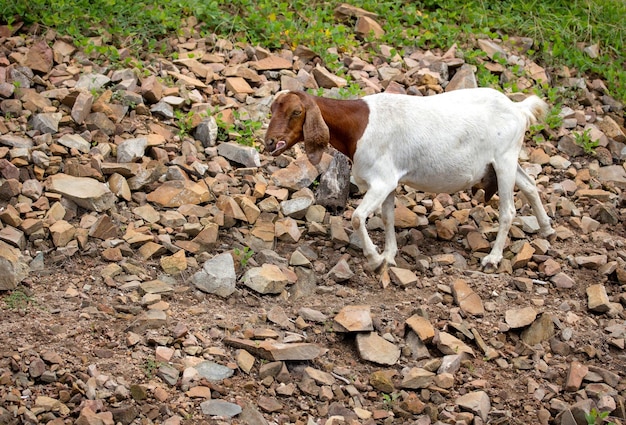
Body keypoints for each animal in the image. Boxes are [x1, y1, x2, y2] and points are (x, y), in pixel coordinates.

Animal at [262, 88, 552, 270]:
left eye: (296, 112)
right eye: (272, 108)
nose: (269, 143)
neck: (358, 125)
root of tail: (518, 108)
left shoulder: (382, 180)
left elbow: (357, 217)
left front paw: (374, 259)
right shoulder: (389, 182)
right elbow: (387, 217)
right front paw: (389, 255)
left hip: (504, 159)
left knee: (508, 210)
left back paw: (493, 258)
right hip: (504, 161)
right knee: (529, 184)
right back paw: (547, 228)